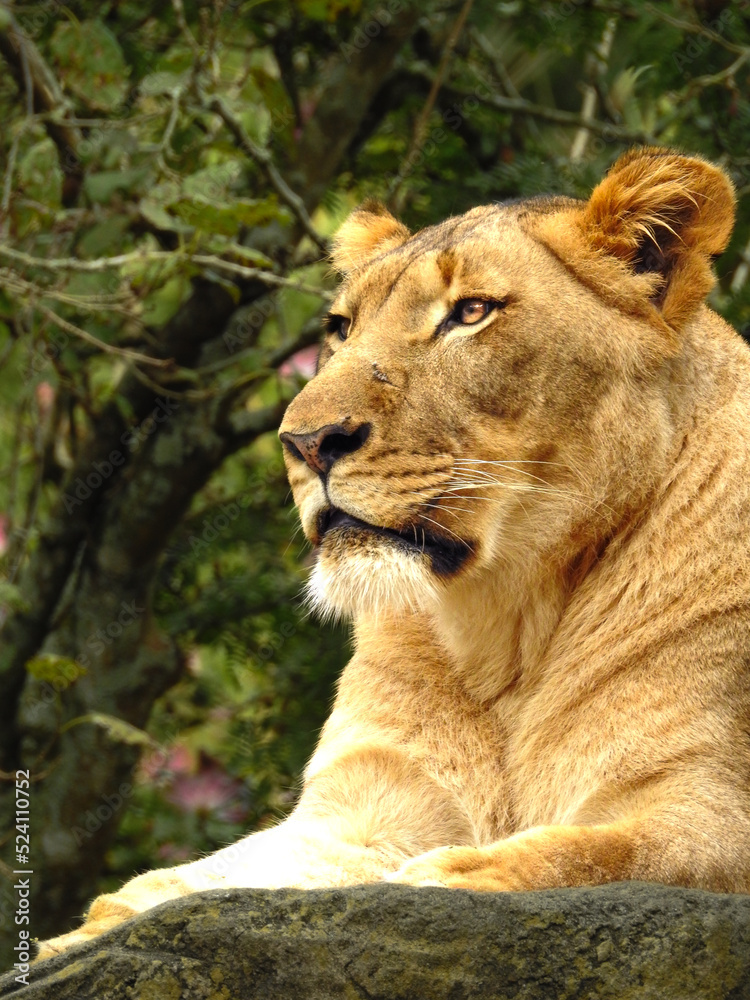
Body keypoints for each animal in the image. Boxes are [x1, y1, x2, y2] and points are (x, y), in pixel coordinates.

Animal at [39, 147, 750, 960]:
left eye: (470, 313)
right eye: (341, 328)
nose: (306, 441)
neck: (507, 635)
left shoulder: (707, 808)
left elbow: (584, 852)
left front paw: (439, 879)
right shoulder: (360, 809)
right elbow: (177, 885)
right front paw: (75, 943)